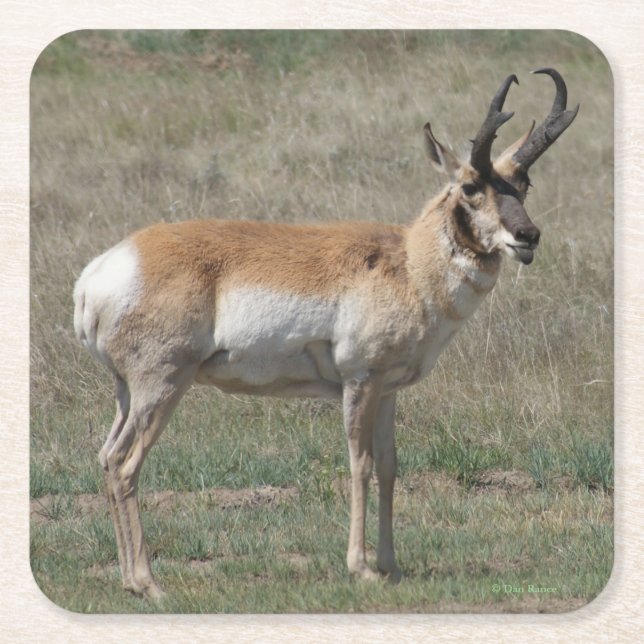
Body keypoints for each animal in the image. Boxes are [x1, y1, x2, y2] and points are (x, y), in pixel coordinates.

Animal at [73, 68, 578, 599]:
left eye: (523, 183)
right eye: (470, 186)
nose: (527, 237)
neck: (409, 262)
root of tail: (100, 274)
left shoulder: (389, 389)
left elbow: (390, 466)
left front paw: (391, 566)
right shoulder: (360, 381)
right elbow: (360, 464)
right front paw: (360, 568)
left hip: (128, 393)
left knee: (106, 458)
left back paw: (129, 580)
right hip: (162, 386)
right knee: (125, 463)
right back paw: (149, 583)